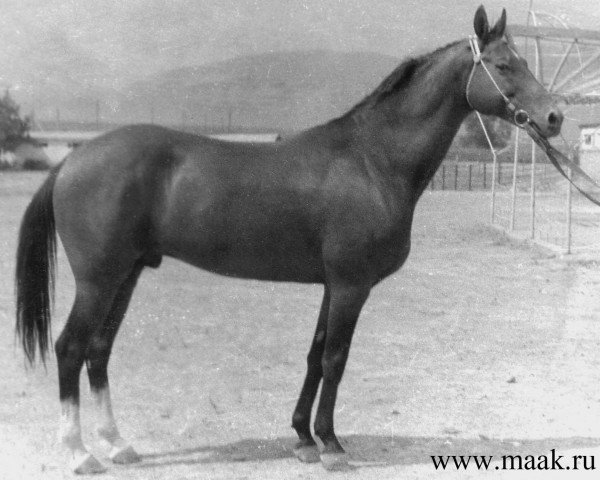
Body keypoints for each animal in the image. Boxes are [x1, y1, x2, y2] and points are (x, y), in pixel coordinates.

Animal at [15, 5, 564, 474]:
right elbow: (335, 359)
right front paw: (333, 445)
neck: (371, 159)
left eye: (520, 60)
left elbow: (315, 355)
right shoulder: (351, 286)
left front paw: (303, 438)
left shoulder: (333, 285)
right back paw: (80, 453)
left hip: (126, 276)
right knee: (70, 348)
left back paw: (118, 445)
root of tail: (73, 157)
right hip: (98, 280)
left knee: (98, 350)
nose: (555, 118)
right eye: (504, 64)